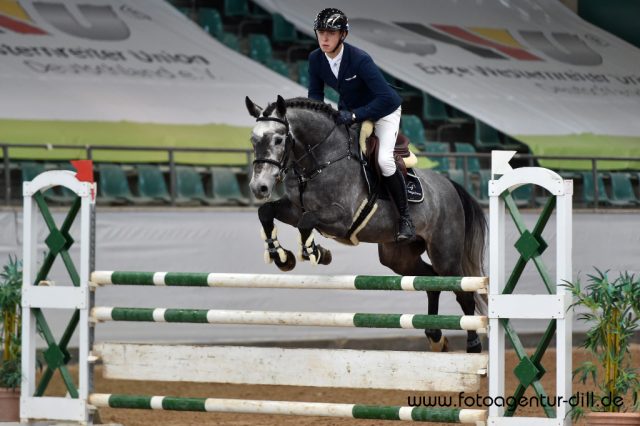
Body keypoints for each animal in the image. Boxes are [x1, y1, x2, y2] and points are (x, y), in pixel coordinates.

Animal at [244, 96, 484, 352]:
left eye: (278, 139)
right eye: (253, 140)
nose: (259, 187)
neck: (319, 160)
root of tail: (450, 185)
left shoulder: (341, 219)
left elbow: (306, 222)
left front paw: (315, 252)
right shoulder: (293, 208)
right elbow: (266, 212)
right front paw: (282, 256)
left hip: (444, 254)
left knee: (462, 292)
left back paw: (473, 345)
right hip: (398, 257)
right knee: (430, 281)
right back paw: (436, 337)